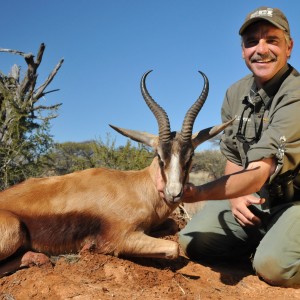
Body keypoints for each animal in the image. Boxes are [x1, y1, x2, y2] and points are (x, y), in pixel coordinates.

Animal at [0, 69, 232, 274]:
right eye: (159, 156)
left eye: (190, 156)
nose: (174, 193)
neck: (137, 187)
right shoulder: (120, 238)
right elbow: (174, 248)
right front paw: (89, 247)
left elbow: (173, 224)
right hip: (15, 229)